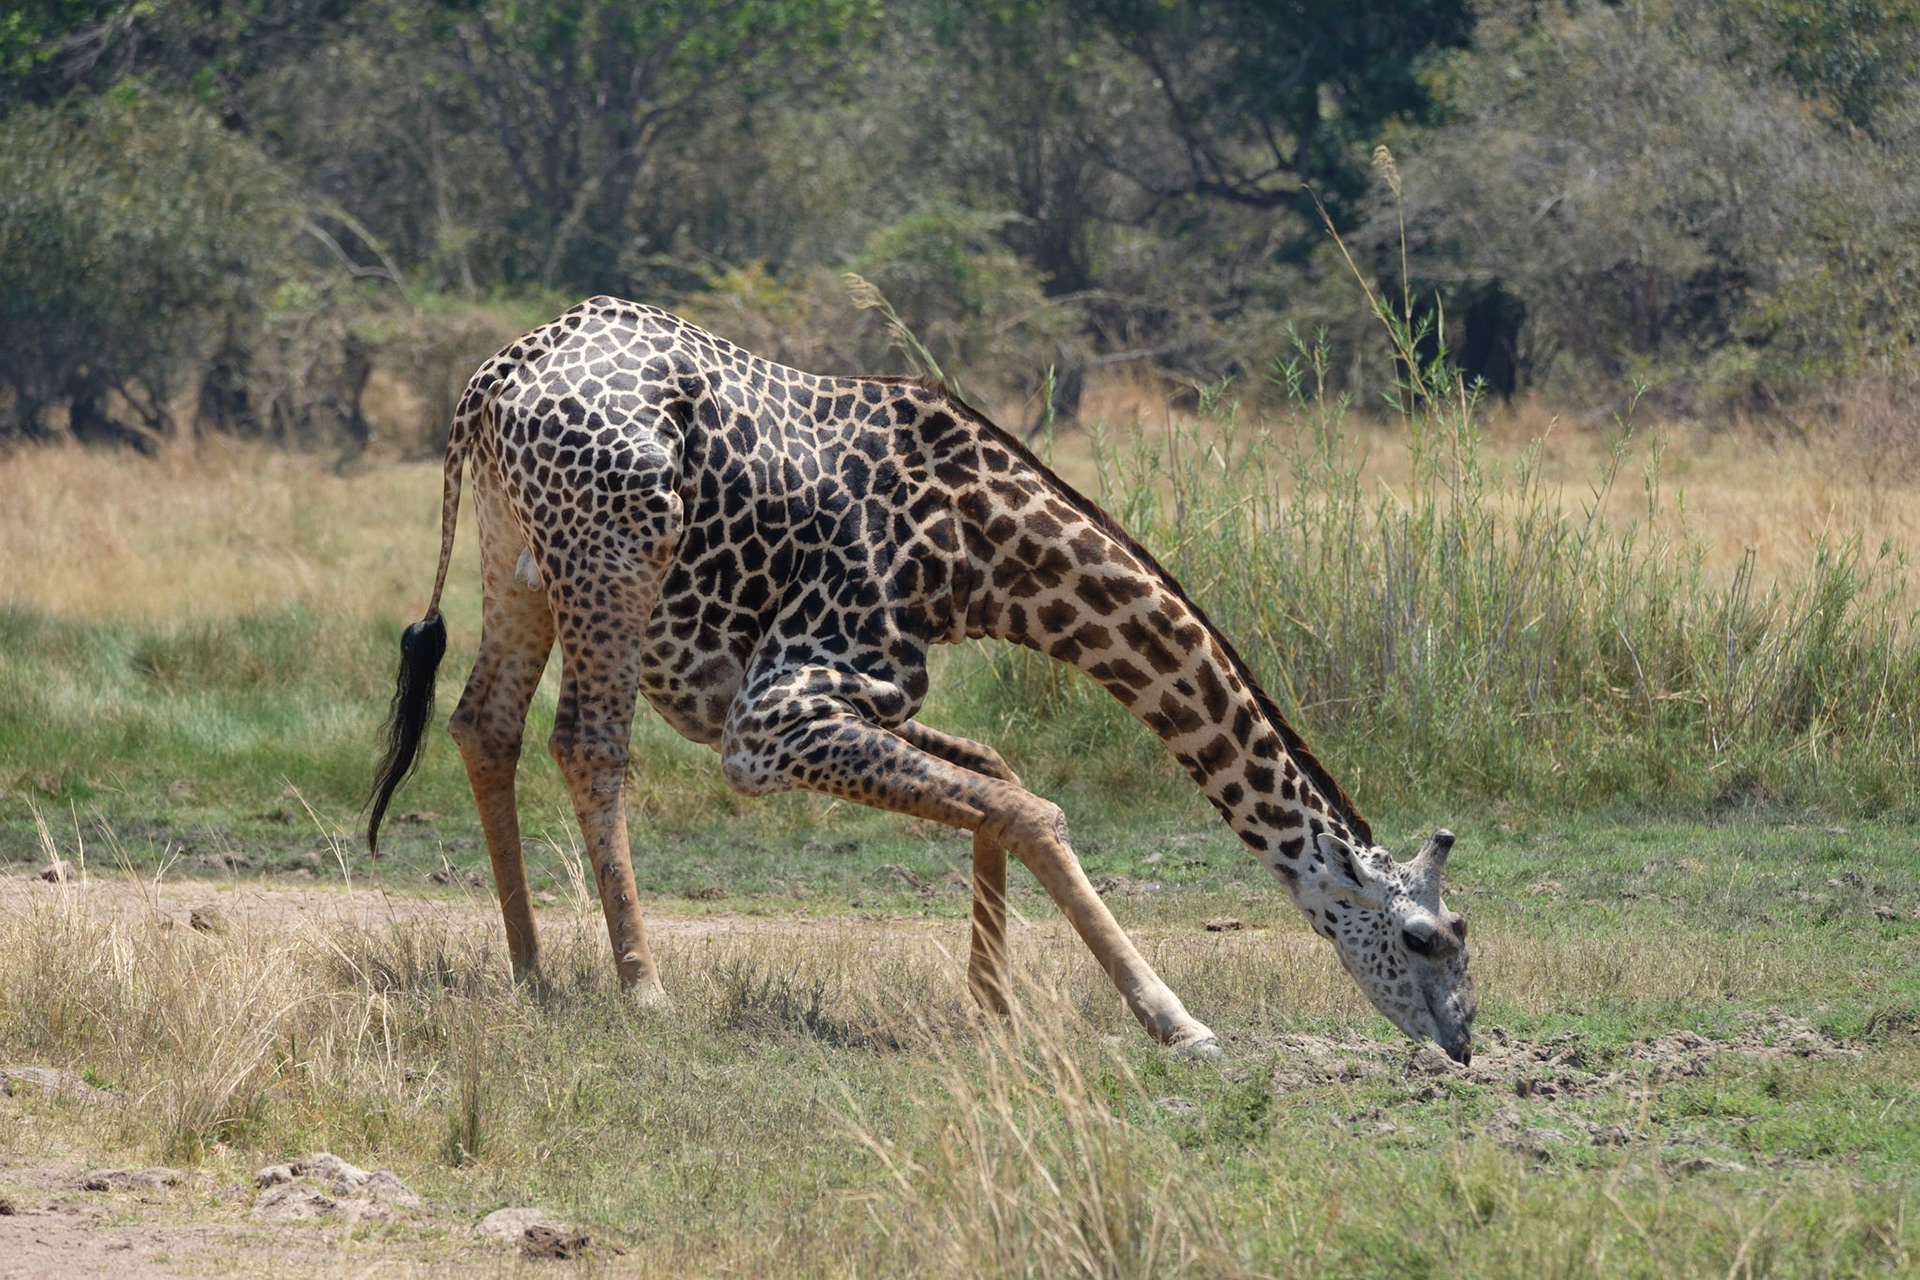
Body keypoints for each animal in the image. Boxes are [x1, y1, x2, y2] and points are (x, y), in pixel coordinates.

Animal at [367, 297, 1477, 1062]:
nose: (1464, 1039)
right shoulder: (770, 718)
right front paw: (1175, 1022)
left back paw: (532, 974)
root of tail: (492, 382)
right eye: (1426, 936)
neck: (981, 560)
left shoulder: (852, 695)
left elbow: (1000, 781)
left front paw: (995, 1004)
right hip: (616, 550)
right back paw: (642, 988)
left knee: (486, 725)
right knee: (586, 743)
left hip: (518, 555)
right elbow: (1029, 806)